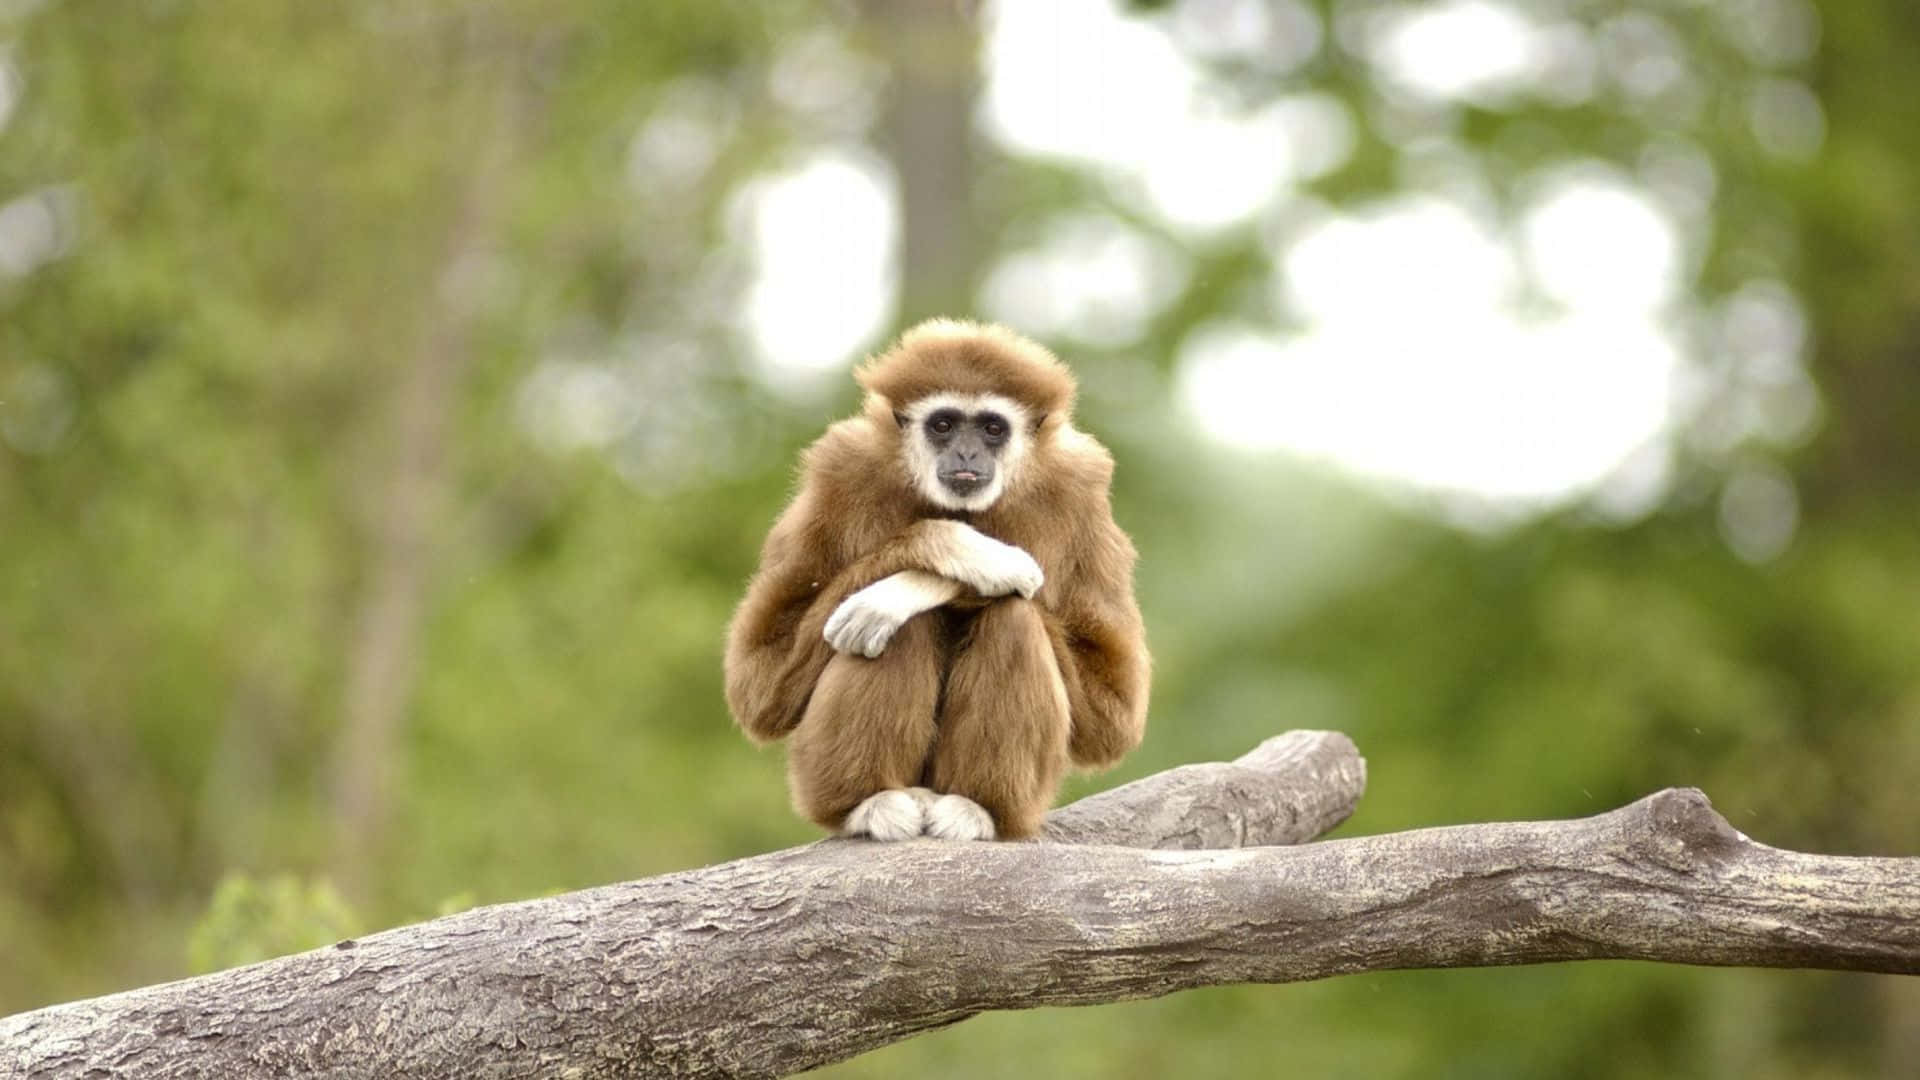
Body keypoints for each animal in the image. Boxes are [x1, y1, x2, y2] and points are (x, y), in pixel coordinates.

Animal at [724, 319, 1150, 841]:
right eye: (943, 424)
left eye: (992, 428)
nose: (966, 451)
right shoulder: (839, 469)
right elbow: (760, 685)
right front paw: (969, 554)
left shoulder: (1080, 488)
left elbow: (1111, 717)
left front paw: (919, 586)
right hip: (812, 779)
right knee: (896, 629)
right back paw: (870, 802)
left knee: (1013, 616)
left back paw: (977, 807)